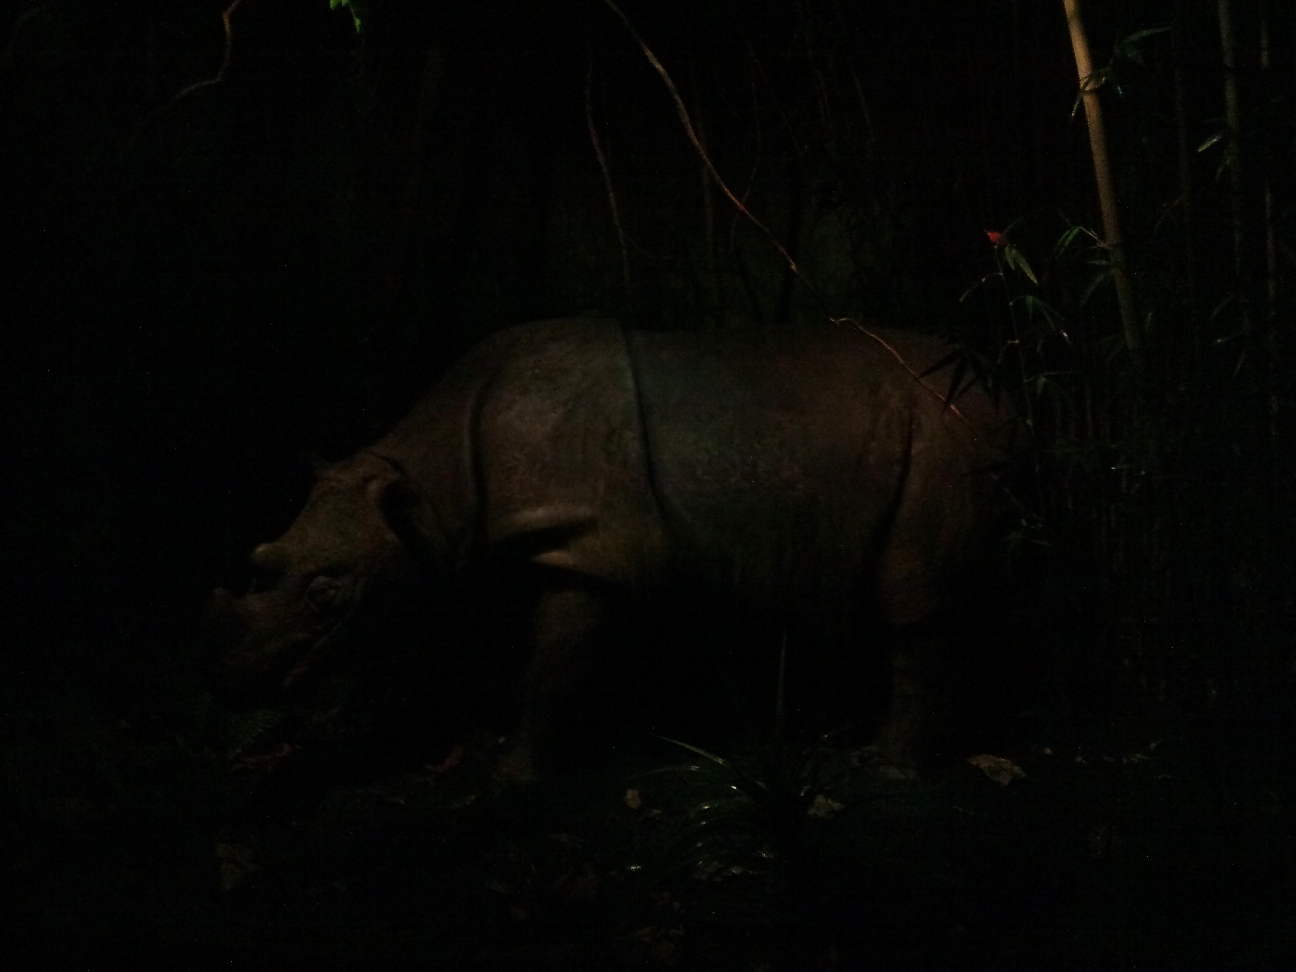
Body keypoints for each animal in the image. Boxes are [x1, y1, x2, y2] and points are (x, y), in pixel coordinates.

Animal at [206, 319, 1015, 779]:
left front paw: (515, 775)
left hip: (943, 433)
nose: (230, 677)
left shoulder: (589, 543)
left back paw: (885, 770)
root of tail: (996, 390)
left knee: (915, 597)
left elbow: (550, 664)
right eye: (260, 561)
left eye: (328, 594)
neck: (431, 487)